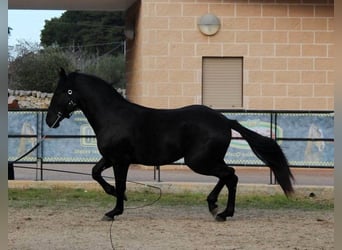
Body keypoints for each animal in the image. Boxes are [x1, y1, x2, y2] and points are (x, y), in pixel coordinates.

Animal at [46, 68, 294, 221]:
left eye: (63, 91)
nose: (49, 121)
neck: (113, 116)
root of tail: (225, 120)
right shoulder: (109, 158)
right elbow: (95, 173)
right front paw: (116, 198)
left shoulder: (120, 161)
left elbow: (120, 183)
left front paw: (114, 211)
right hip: (209, 160)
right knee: (228, 176)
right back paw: (214, 206)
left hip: (199, 161)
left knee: (230, 176)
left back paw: (222, 212)